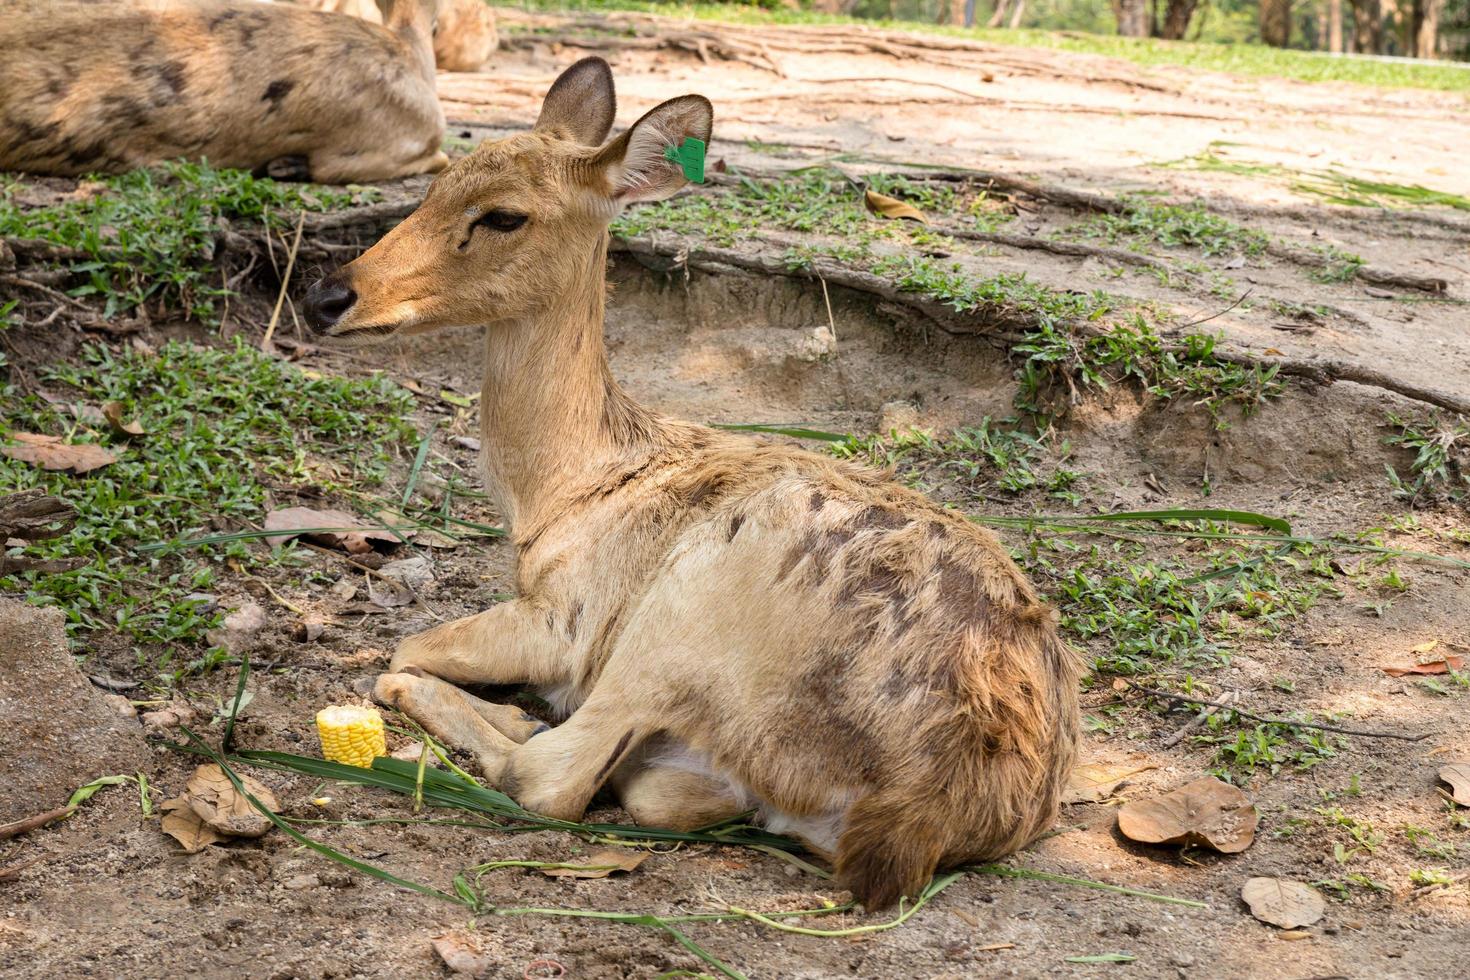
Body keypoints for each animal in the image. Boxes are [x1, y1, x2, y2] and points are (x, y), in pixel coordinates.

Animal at [301, 55, 1081, 910]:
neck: (567, 492)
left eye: (505, 215)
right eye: (435, 180)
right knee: (657, 791)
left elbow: (413, 642)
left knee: (551, 774)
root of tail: (920, 810)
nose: (327, 295)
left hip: (681, 616)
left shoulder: (568, 617)